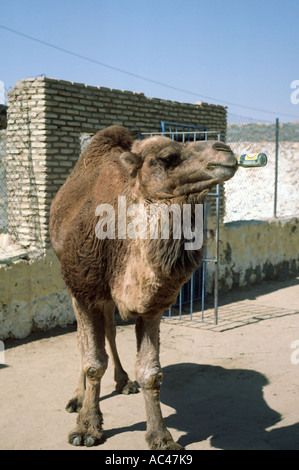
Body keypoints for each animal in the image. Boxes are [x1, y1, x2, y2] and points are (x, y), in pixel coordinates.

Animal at [49, 126, 238, 450]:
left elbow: (151, 373)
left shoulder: (151, 305)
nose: (225, 150)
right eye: (168, 157)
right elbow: (92, 362)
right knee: (82, 341)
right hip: (74, 284)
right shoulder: (85, 291)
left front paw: (161, 437)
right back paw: (77, 398)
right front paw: (87, 427)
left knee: (110, 329)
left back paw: (124, 381)